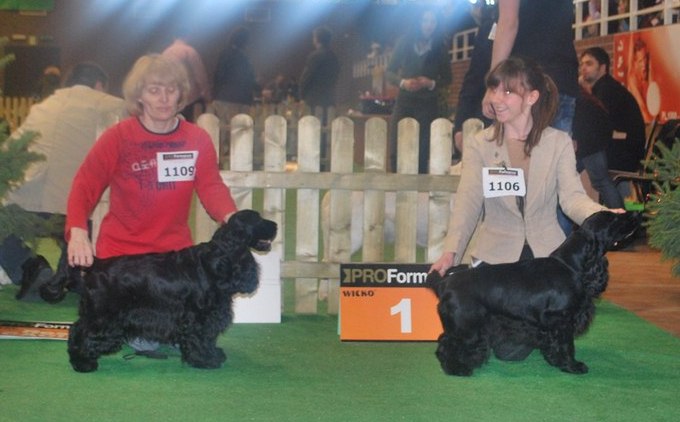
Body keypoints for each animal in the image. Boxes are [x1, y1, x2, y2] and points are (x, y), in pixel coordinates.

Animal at [46, 209, 277, 373]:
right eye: (258, 219)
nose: (275, 225)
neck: (218, 259)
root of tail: (96, 264)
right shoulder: (198, 317)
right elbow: (200, 338)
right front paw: (205, 360)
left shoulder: (210, 315)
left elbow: (209, 338)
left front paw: (213, 354)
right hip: (103, 316)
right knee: (81, 332)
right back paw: (83, 363)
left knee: (76, 329)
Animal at [426, 211, 639, 376]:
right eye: (613, 219)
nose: (636, 214)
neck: (571, 265)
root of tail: (444, 282)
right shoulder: (562, 319)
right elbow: (567, 345)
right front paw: (572, 366)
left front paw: (556, 361)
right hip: (467, 327)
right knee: (446, 344)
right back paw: (457, 369)